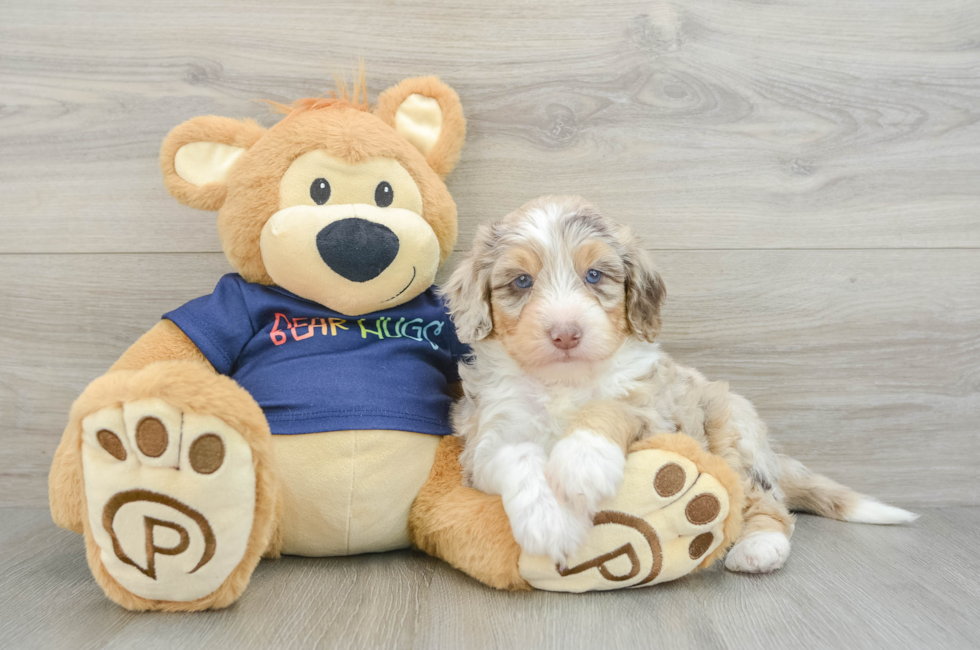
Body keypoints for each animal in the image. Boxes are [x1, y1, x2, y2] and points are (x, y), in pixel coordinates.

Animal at [444, 195, 920, 568]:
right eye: (521, 281)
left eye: (594, 275)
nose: (565, 333)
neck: (565, 383)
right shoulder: (485, 441)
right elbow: (517, 454)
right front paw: (549, 522)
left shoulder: (657, 416)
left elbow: (612, 405)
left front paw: (583, 462)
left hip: (733, 436)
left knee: (768, 502)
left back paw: (760, 547)